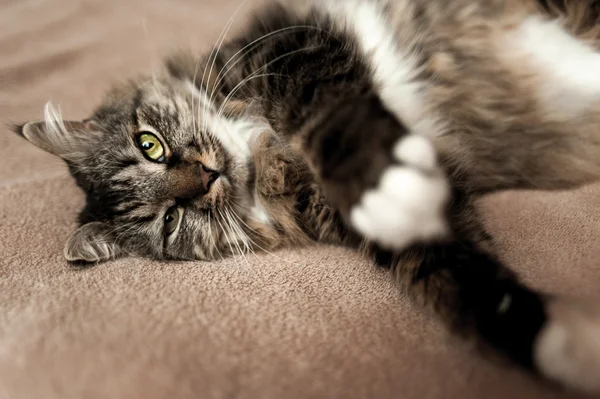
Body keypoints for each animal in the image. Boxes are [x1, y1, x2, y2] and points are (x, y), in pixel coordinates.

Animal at [11, 0, 600, 394]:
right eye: (171, 221)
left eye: (149, 145)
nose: (204, 177)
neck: (267, 154)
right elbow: (452, 278)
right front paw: (560, 343)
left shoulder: (294, 45)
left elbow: (326, 108)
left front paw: (383, 181)